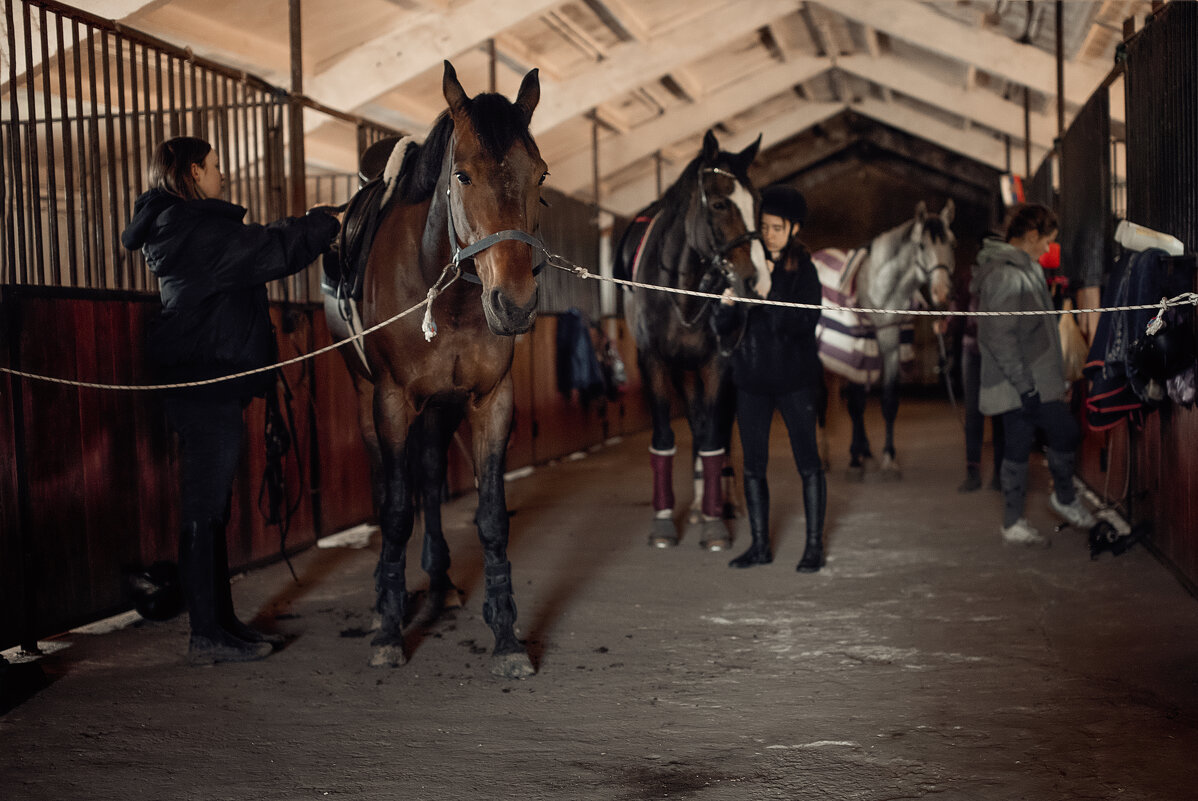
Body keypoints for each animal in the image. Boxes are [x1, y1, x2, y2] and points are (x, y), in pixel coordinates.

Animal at [330, 62, 548, 680]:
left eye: (541, 175)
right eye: (462, 175)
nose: (514, 305)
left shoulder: (489, 400)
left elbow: (491, 516)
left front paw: (506, 636)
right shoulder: (392, 400)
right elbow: (396, 511)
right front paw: (386, 630)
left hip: (442, 406)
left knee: (428, 473)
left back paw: (441, 582)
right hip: (367, 400)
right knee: (390, 483)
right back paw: (390, 596)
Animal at [618, 129, 766, 550]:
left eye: (758, 204)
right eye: (718, 204)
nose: (756, 281)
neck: (681, 290)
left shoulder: (718, 364)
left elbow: (715, 435)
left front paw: (716, 523)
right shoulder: (653, 362)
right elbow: (667, 436)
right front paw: (664, 521)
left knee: (717, 428)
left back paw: (724, 501)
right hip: (683, 372)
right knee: (698, 424)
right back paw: (700, 502)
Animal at [814, 199, 953, 478]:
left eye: (950, 244)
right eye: (922, 246)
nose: (941, 294)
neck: (881, 289)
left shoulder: (889, 348)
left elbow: (888, 400)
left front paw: (888, 457)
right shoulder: (861, 350)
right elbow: (856, 403)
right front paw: (856, 460)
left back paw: (862, 452)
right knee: (823, 399)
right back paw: (825, 457)